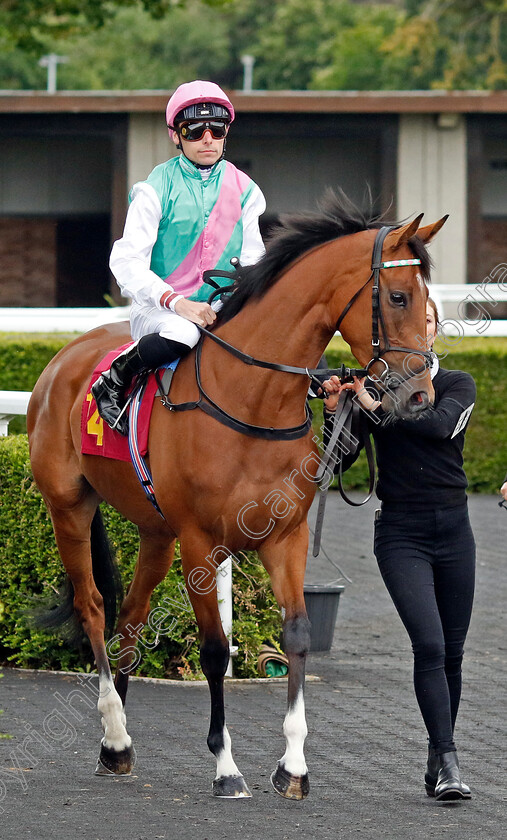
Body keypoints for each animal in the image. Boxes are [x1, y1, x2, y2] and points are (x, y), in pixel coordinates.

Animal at [27, 195, 446, 800]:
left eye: (429, 301)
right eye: (397, 297)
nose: (418, 396)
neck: (254, 402)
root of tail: (65, 358)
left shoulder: (286, 536)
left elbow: (297, 635)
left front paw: (293, 766)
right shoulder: (202, 544)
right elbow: (215, 649)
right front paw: (226, 767)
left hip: (156, 533)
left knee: (131, 616)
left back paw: (116, 744)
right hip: (69, 507)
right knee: (94, 608)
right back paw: (114, 728)